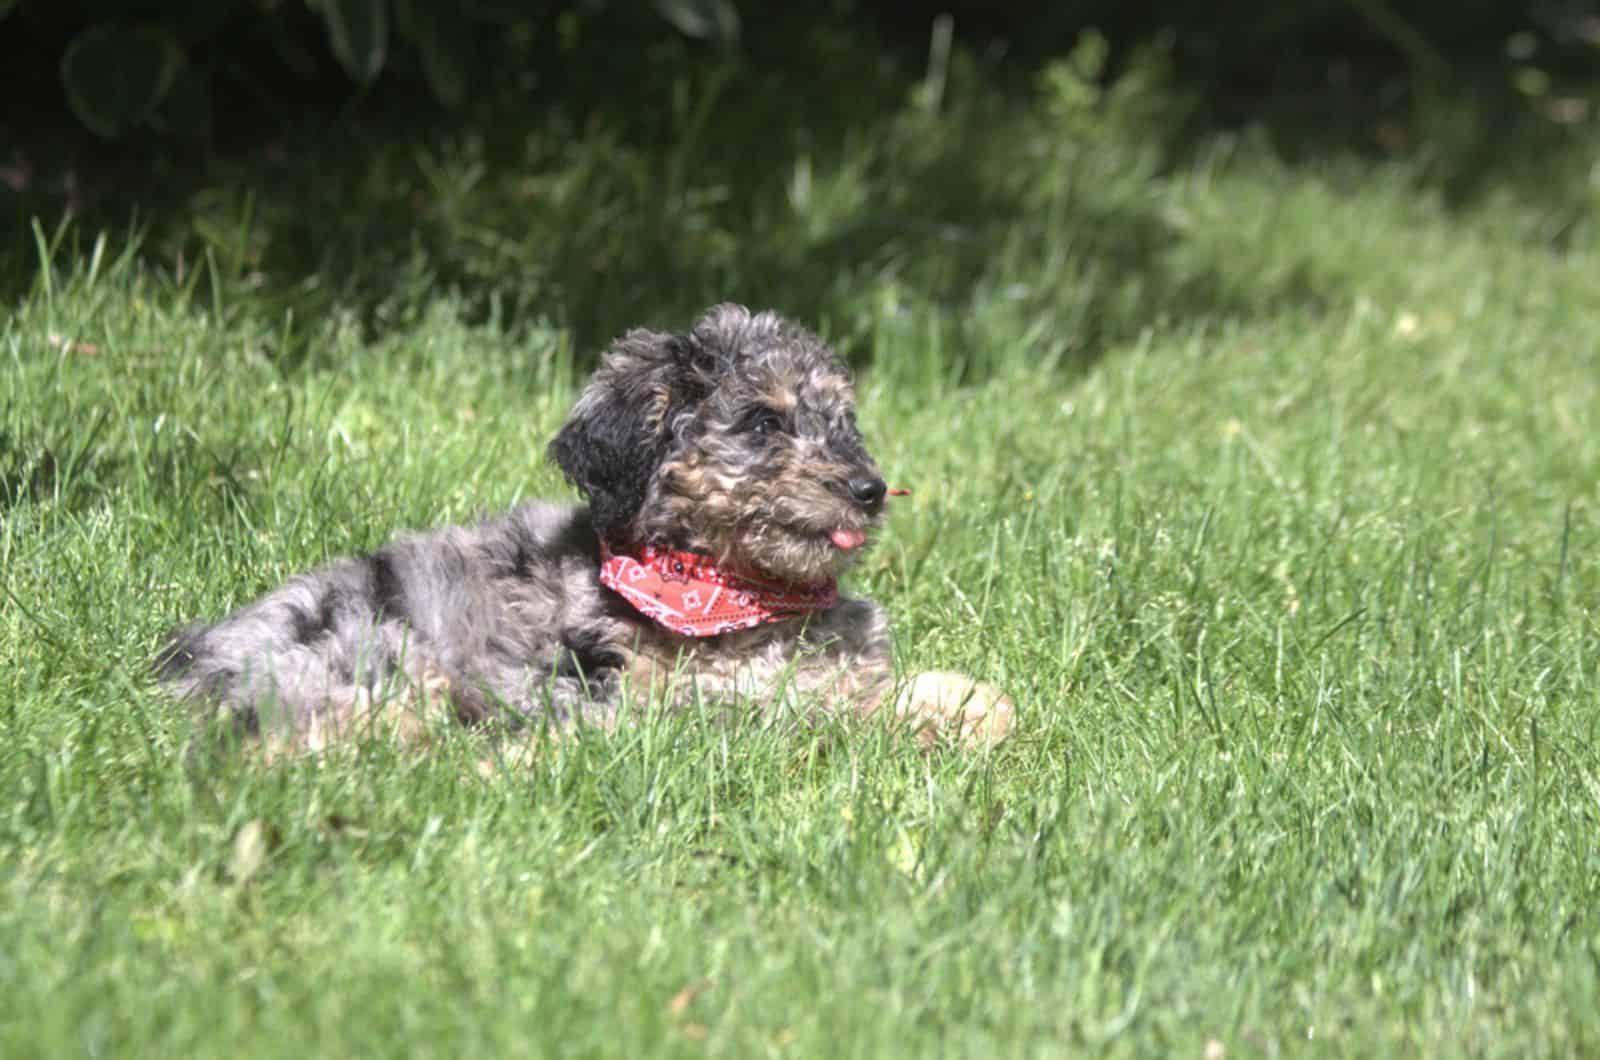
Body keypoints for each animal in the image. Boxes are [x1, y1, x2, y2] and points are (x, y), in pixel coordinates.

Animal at [159, 307, 1011, 755]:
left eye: (844, 422)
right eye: (763, 423)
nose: (869, 491)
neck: (733, 597)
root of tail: (184, 668)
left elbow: (957, 695)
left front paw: (971, 710)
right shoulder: (650, 695)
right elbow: (800, 713)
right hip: (376, 653)